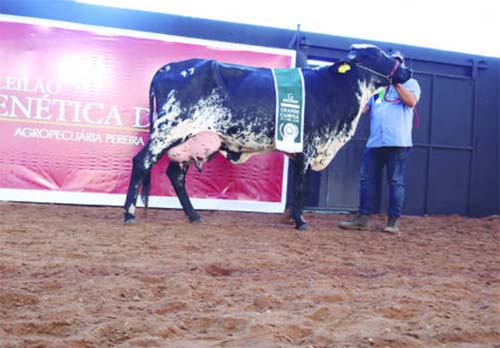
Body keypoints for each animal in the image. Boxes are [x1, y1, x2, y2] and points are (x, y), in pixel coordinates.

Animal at [123, 44, 412, 228]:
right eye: (378, 54)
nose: (407, 70)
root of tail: (168, 67)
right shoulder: (308, 147)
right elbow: (302, 187)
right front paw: (300, 221)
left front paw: (290, 218)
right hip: (169, 129)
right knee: (141, 162)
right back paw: (129, 214)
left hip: (192, 139)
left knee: (176, 175)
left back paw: (194, 216)